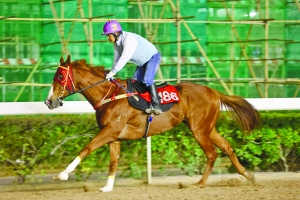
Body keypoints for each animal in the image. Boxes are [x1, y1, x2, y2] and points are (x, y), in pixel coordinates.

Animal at [44, 54, 260, 192]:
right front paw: (107, 187)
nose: (49, 102)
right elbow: (113, 161)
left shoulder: (110, 130)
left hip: (199, 130)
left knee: (212, 154)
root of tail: (214, 91)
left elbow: (86, 148)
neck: (110, 96)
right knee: (227, 147)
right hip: (207, 128)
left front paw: (62, 175)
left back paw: (200, 183)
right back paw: (247, 175)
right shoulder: (114, 136)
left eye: (60, 76)